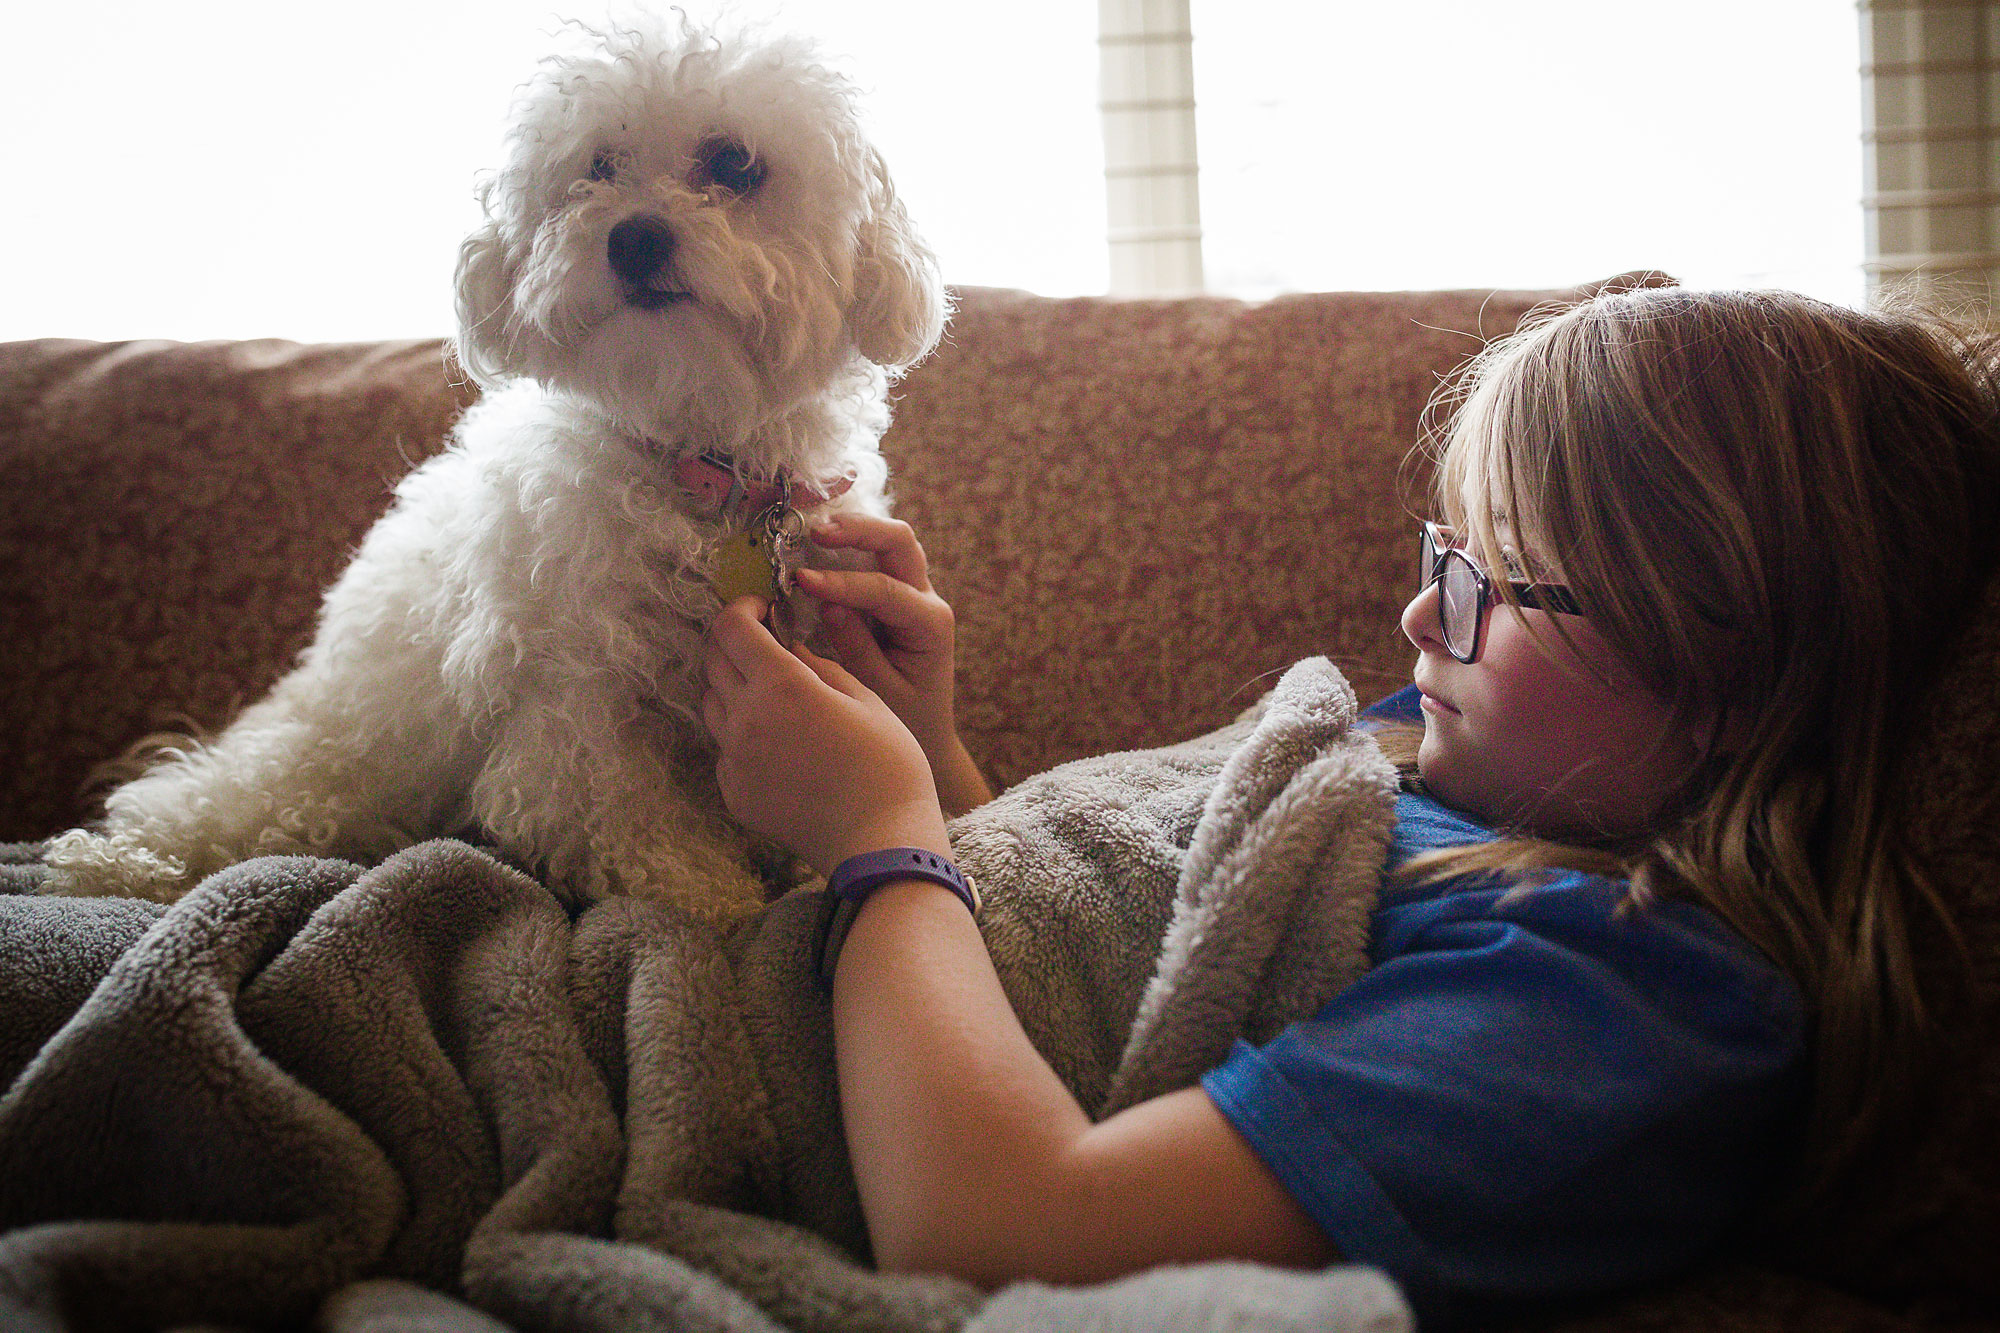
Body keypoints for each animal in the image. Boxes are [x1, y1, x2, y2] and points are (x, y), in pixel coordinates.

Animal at [43, 18, 948, 912]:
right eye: (599, 166)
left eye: (734, 164)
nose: (634, 236)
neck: (700, 466)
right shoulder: (577, 710)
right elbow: (643, 838)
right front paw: (721, 902)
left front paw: (792, 873)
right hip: (321, 764)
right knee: (207, 805)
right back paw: (114, 863)